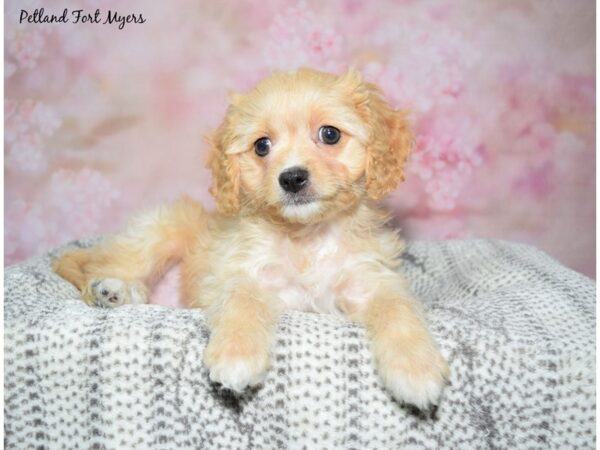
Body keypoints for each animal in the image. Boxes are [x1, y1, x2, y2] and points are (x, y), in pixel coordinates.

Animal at [55, 68, 450, 410]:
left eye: (330, 134)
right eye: (262, 146)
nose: (292, 178)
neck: (306, 237)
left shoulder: (371, 281)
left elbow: (398, 310)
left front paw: (416, 369)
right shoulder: (242, 274)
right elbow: (241, 300)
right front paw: (236, 355)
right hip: (158, 230)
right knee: (103, 264)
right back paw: (111, 289)